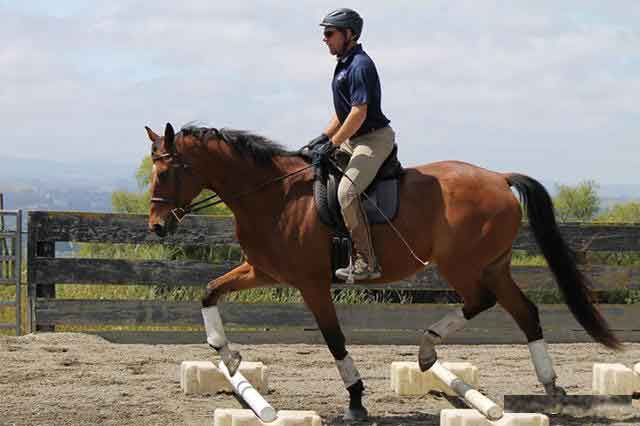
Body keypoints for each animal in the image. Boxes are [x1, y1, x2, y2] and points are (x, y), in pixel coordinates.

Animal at [146, 122, 620, 420]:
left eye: (166, 172)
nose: (157, 227)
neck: (275, 196)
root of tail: (499, 178)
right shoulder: (263, 270)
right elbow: (209, 291)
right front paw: (227, 356)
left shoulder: (311, 284)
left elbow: (334, 339)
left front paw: (356, 399)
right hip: (494, 265)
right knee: (525, 313)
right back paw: (549, 388)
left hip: (464, 264)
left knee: (482, 301)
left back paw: (430, 349)